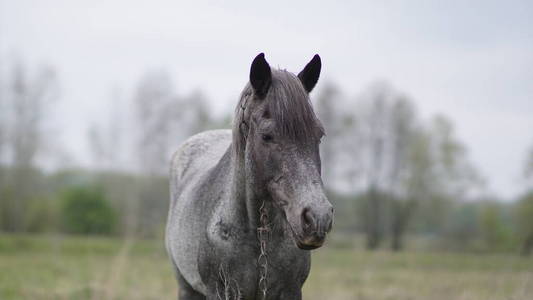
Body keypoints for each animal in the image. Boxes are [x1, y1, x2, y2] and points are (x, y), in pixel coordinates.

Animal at [164, 52, 334, 298]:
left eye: (319, 135)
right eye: (266, 136)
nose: (318, 217)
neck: (256, 236)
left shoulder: (291, 291)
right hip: (186, 287)